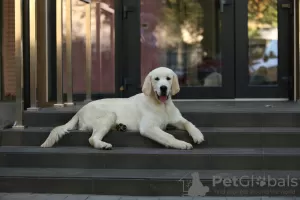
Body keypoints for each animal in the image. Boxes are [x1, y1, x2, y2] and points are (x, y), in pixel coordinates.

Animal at [41, 66, 205, 149]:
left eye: (168, 79)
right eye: (156, 79)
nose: (163, 88)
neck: (162, 105)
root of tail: (80, 110)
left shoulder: (177, 119)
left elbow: (188, 123)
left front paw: (197, 135)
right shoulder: (148, 127)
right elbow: (168, 137)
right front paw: (182, 144)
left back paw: (120, 126)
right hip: (109, 115)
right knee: (92, 139)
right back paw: (103, 144)